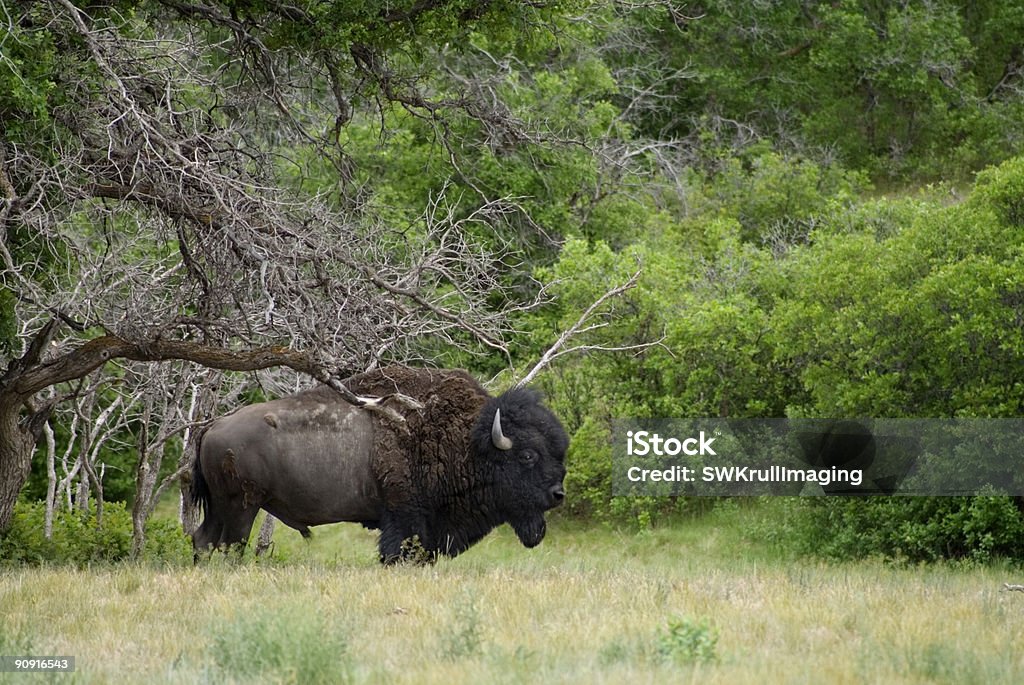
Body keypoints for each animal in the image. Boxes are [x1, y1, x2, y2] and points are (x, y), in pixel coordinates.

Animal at [190, 366, 569, 565]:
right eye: (528, 455)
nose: (557, 494)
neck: (470, 442)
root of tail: (212, 426)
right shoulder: (404, 517)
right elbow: (397, 551)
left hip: (221, 507)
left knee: (203, 539)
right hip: (242, 506)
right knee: (230, 543)